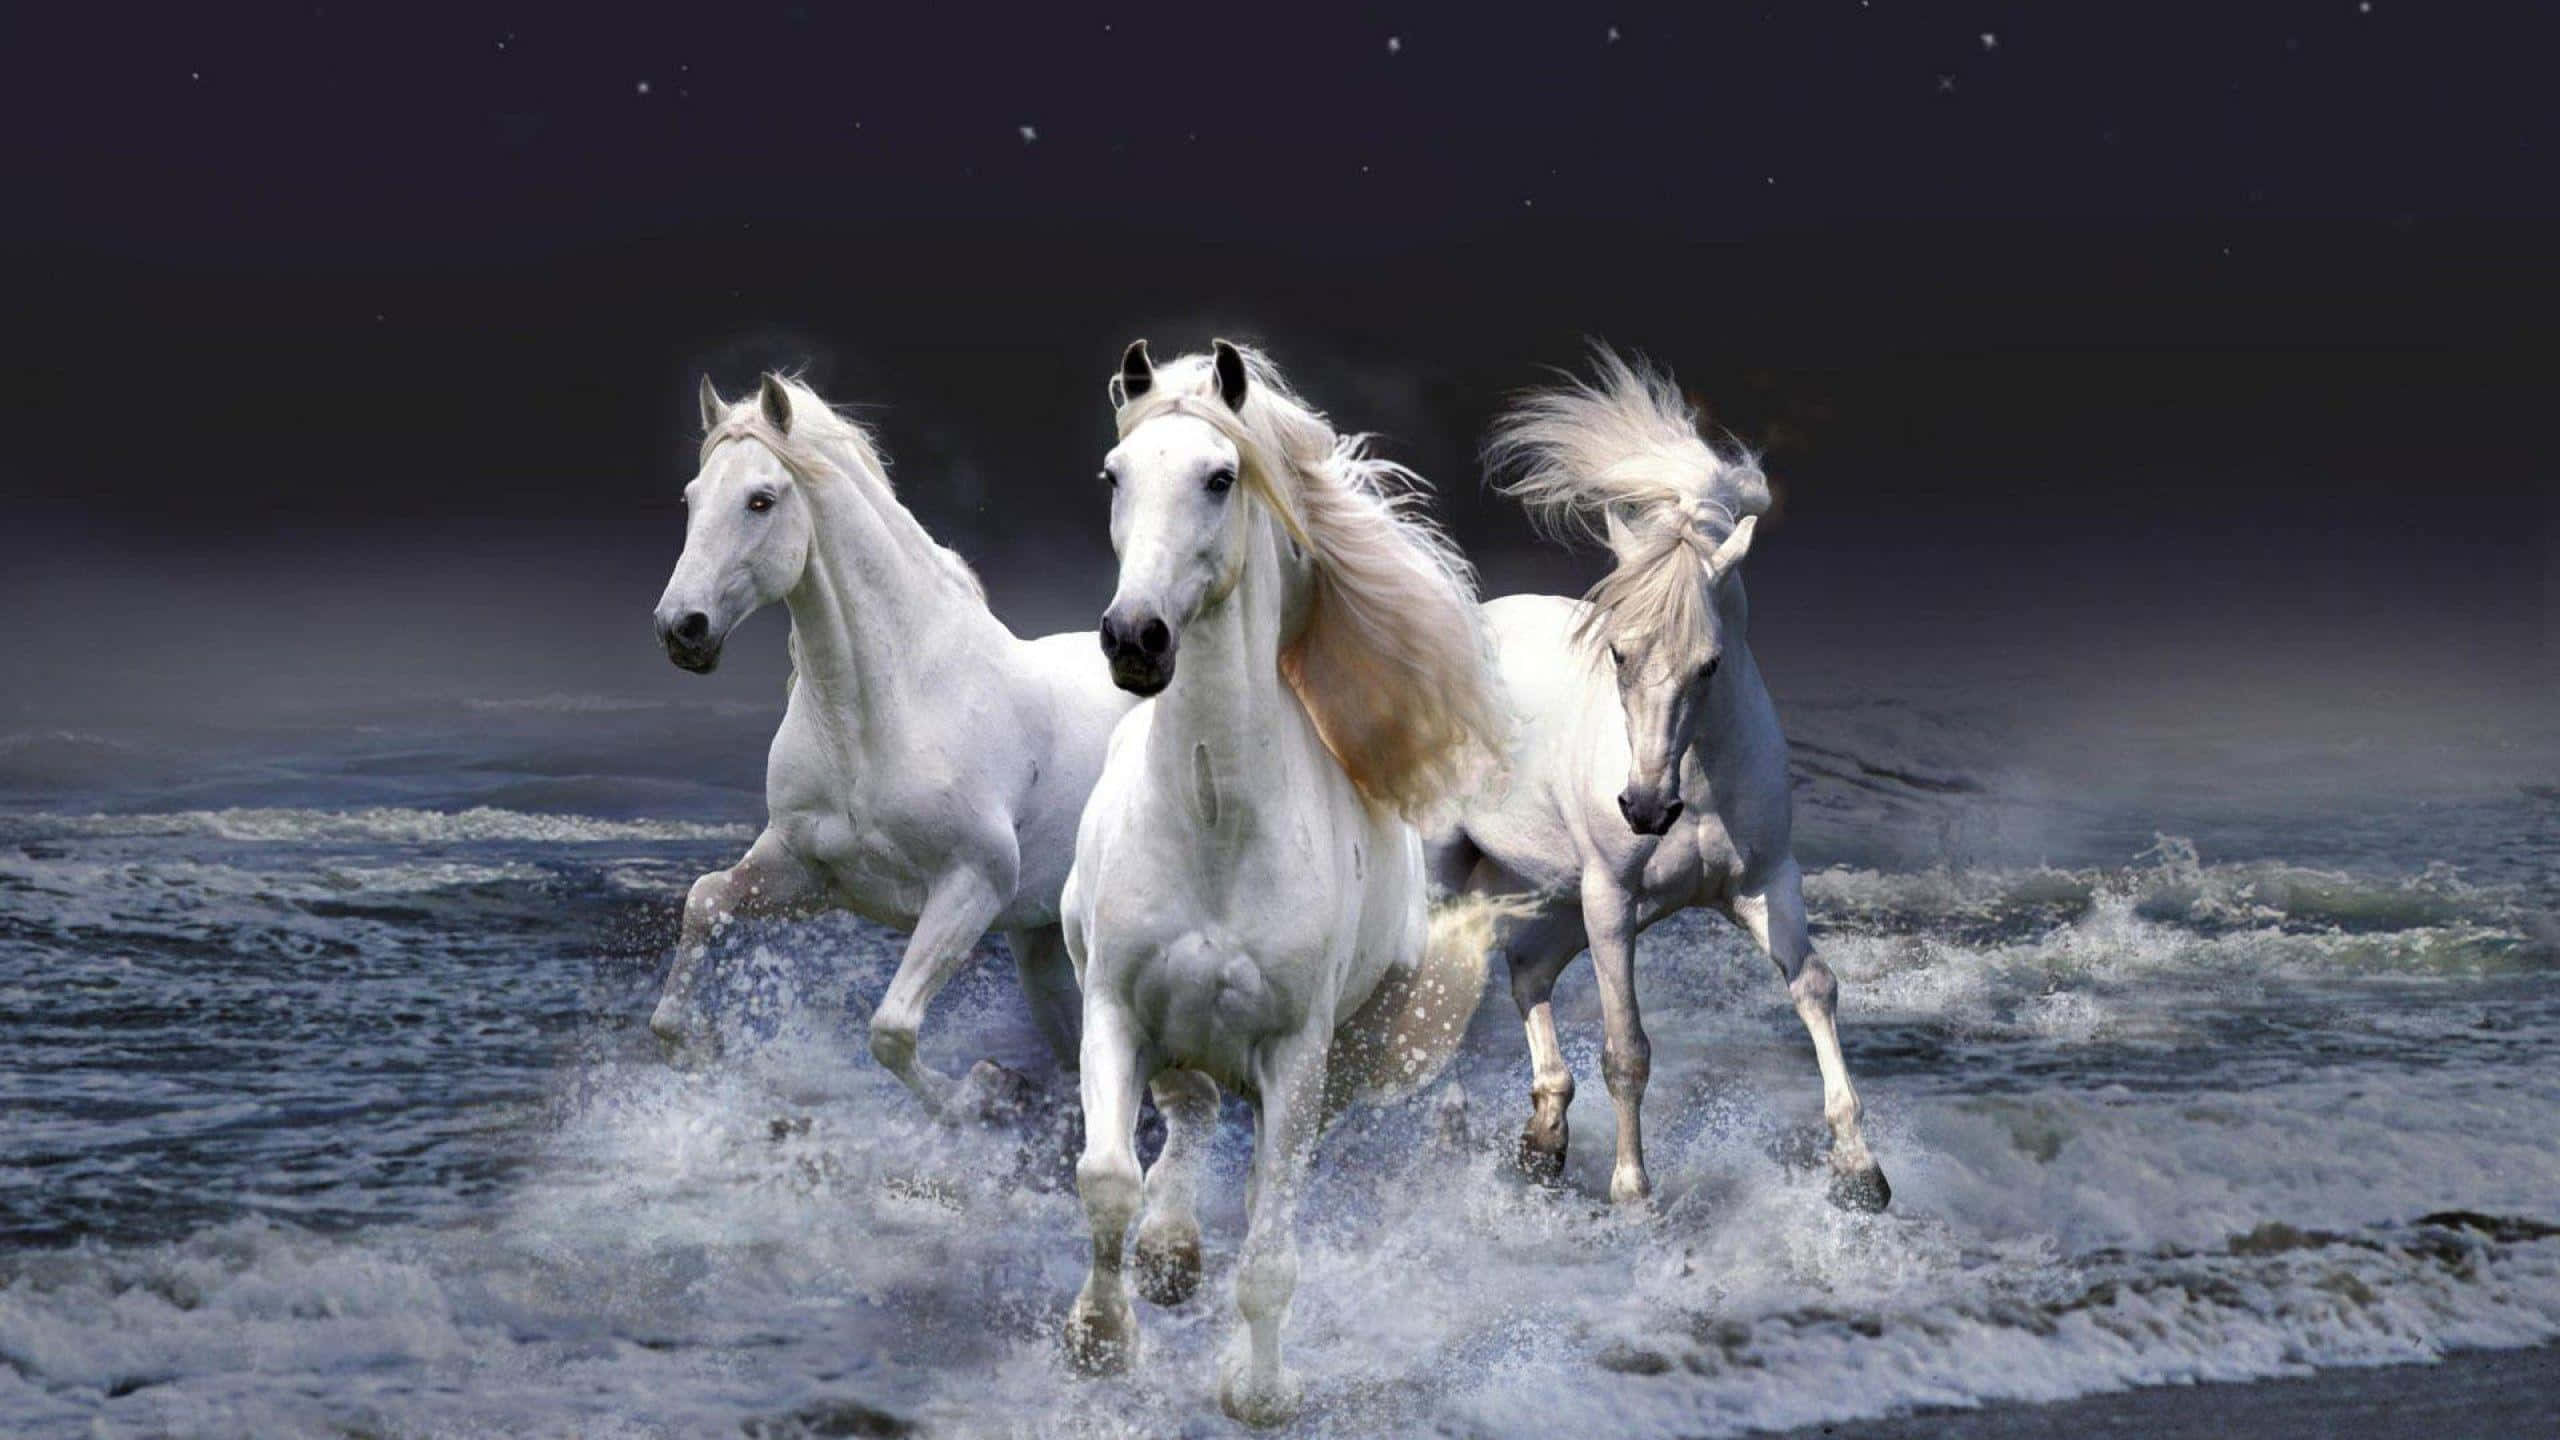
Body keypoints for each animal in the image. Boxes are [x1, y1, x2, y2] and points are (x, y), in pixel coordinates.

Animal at [648, 373, 1136, 1119]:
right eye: (691, 497)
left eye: (761, 500)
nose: (682, 628)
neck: (885, 713)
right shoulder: (807, 870)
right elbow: (704, 902)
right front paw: (700, 1047)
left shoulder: (971, 886)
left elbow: (891, 1030)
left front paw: (982, 1092)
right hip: (1044, 945)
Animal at [1058, 341, 1508, 1425]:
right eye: (1114, 476)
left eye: (1221, 478)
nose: (1135, 639)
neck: (1215, 819)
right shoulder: (1115, 1006)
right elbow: (1107, 1179)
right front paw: (1100, 1340)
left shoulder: (1296, 1056)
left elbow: (1268, 1255)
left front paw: (1256, 1393)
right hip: (1171, 1030)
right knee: (1187, 1112)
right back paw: (1170, 1255)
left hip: (1339, 1062)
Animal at [1426, 347, 1891, 1211]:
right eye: (1618, 652)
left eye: (1710, 663)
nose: (1644, 808)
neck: (1697, 783)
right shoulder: (1613, 899)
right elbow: (1627, 1048)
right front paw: (1633, 1195)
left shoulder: (1763, 884)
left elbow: (1815, 987)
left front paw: (1860, 1171)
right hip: (1457, 870)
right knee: (1439, 986)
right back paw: (1453, 1128)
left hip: (1552, 890)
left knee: (1525, 970)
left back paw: (1543, 1140)